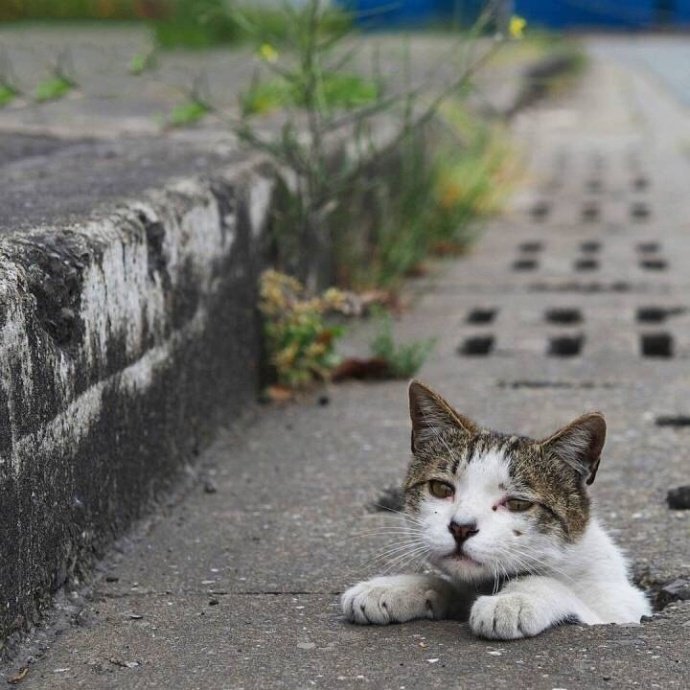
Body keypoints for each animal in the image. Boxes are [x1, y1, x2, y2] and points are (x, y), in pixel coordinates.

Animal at [342, 378, 648, 636]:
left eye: (518, 503)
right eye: (441, 488)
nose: (461, 528)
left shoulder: (620, 608)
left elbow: (551, 584)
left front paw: (513, 599)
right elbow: (446, 583)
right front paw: (390, 588)